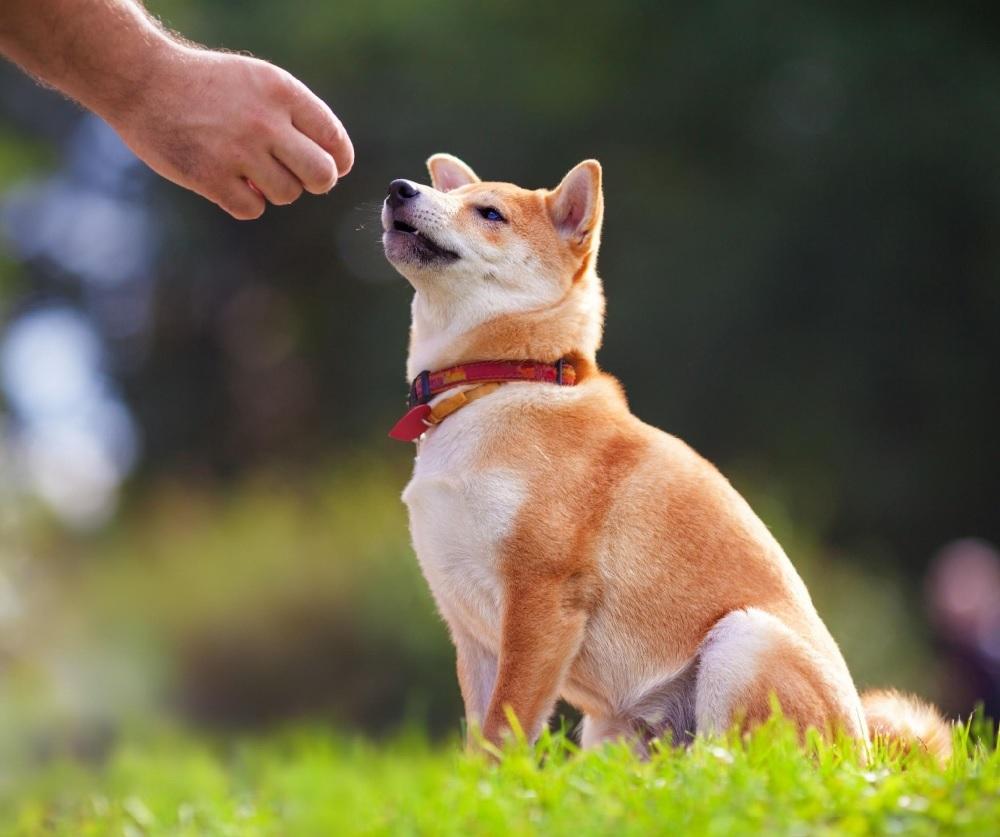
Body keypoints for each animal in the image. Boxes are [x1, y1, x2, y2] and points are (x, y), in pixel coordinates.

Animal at [381, 154, 951, 760]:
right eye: (452, 197)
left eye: (490, 213)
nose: (399, 188)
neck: (497, 383)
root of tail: (863, 754)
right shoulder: (471, 630)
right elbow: (480, 737)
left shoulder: (542, 598)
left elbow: (505, 728)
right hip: (611, 730)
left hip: (742, 639)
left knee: (735, 763)